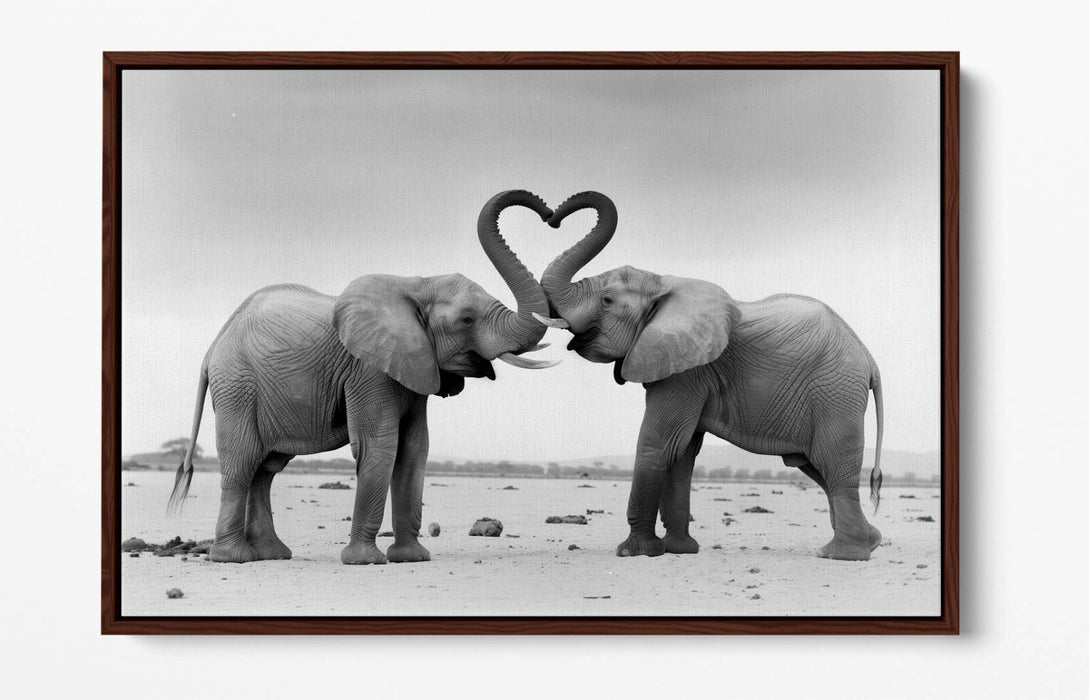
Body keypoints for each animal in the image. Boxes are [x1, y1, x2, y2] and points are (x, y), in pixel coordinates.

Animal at [167, 189, 558, 565]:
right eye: (466, 320)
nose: (548, 213)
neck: (416, 283)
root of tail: (214, 345)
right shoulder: (369, 369)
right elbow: (379, 446)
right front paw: (365, 561)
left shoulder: (414, 367)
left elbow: (414, 450)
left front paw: (412, 558)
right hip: (237, 384)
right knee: (243, 461)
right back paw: (233, 558)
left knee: (267, 467)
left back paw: (271, 554)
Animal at [535, 191, 885, 561]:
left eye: (607, 300)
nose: (552, 215)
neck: (662, 282)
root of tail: (869, 359)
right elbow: (682, 452)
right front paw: (680, 550)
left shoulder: (688, 373)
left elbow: (658, 443)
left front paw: (637, 552)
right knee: (817, 468)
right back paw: (870, 542)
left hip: (836, 391)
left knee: (834, 465)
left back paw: (841, 554)